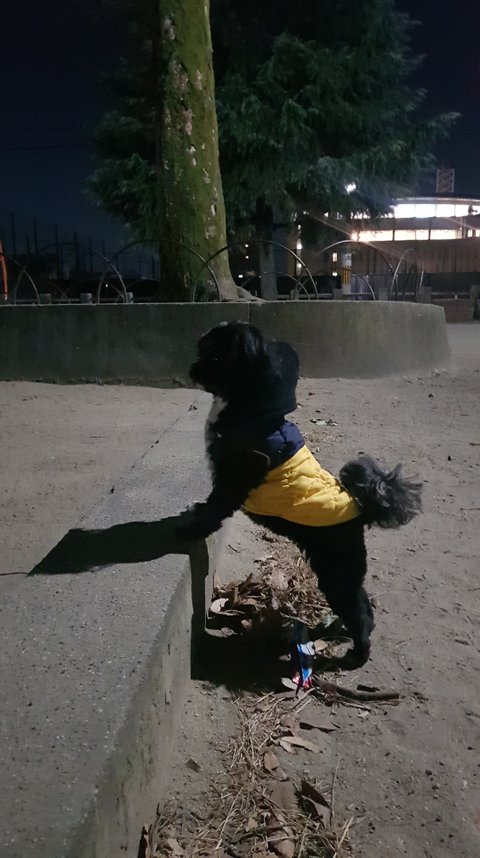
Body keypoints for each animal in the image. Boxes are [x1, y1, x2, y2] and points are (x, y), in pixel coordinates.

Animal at [180, 321, 422, 666]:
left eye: (214, 355)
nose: (192, 368)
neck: (251, 409)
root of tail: (358, 508)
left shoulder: (232, 481)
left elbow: (214, 509)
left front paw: (190, 528)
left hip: (336, 571)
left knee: (358, 612)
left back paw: (356, 654)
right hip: (344, 571)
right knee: (363, 604)